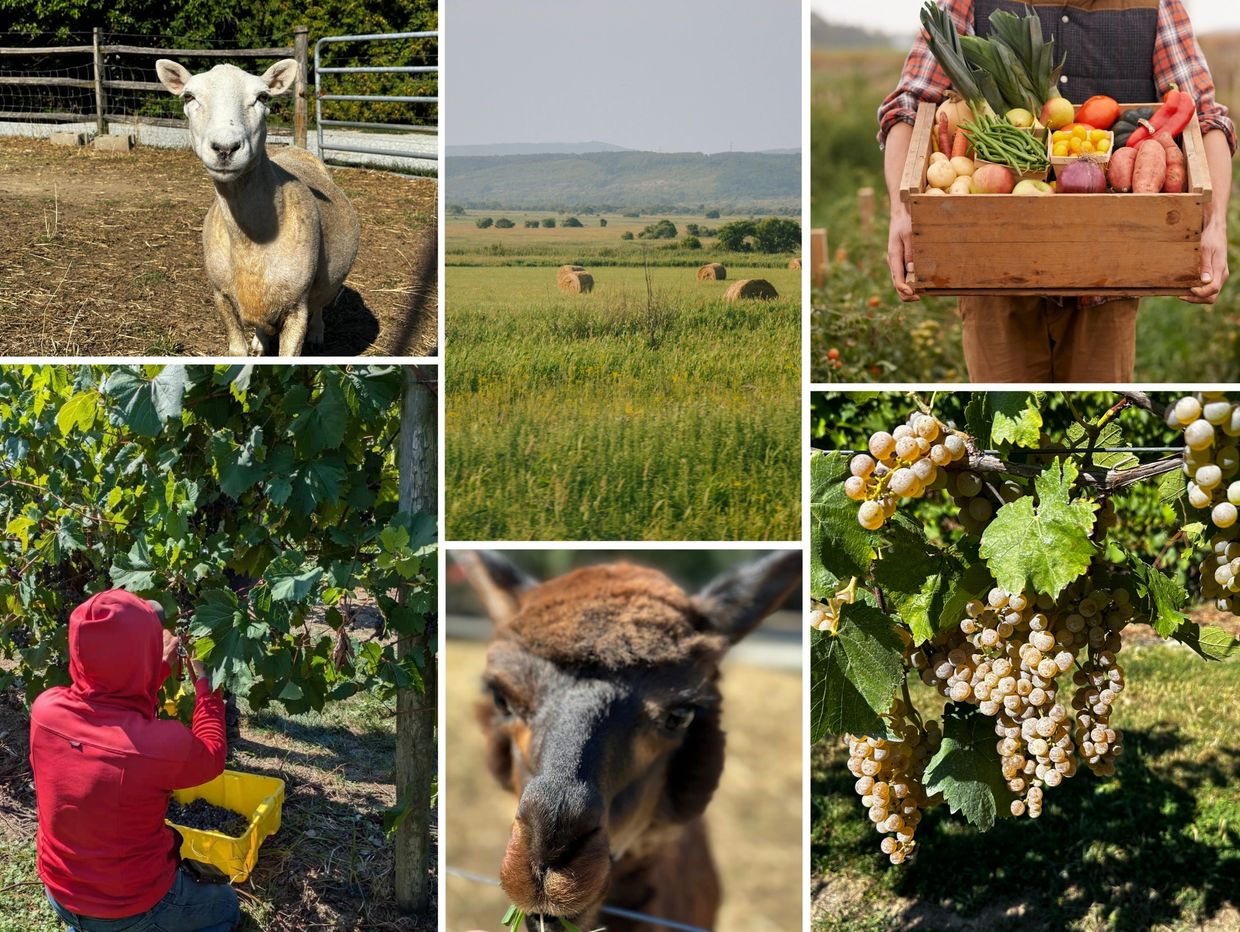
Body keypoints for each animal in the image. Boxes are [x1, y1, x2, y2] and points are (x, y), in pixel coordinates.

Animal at [156, 59, 359, 356]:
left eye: (262, 97)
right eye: (189, 97)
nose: (225, 148)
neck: (250, 244)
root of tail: (295, 148)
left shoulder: (297, 306)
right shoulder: (221, 295)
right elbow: (237, 351)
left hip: (324, 283)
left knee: (321, 303)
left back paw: (317, 333)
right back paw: (260, 342)